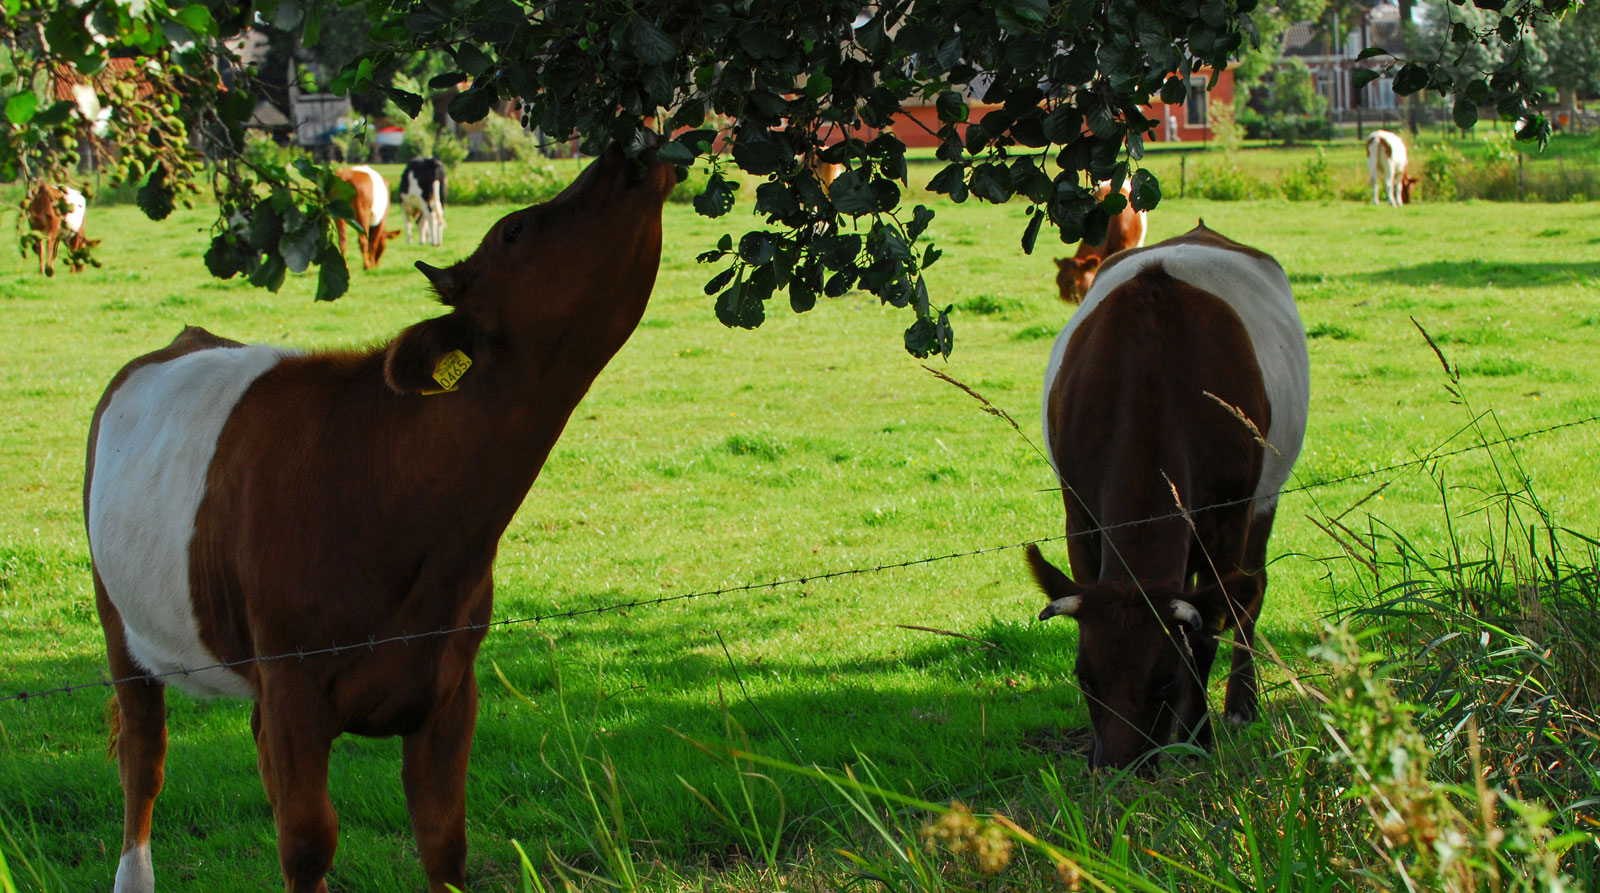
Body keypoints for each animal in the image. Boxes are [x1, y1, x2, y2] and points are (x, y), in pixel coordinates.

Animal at [86, 143, 681, 889]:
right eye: (515, 229)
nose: (626, 151)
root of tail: (178, 340)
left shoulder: (450, 687)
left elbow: (444, 841)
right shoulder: (294, 684)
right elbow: (308, 841)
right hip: (119, 622)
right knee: (144, 759)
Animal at [1030, 222, 1305, 771]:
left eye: (1164, 682)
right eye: (1085, 679)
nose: (1118, 769)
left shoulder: (1229, 517)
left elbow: (1208, 628)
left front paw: (1196, 736)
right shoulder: (1080, 517)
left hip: (1265, 497)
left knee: (1251, 591)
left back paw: (1240, 704)